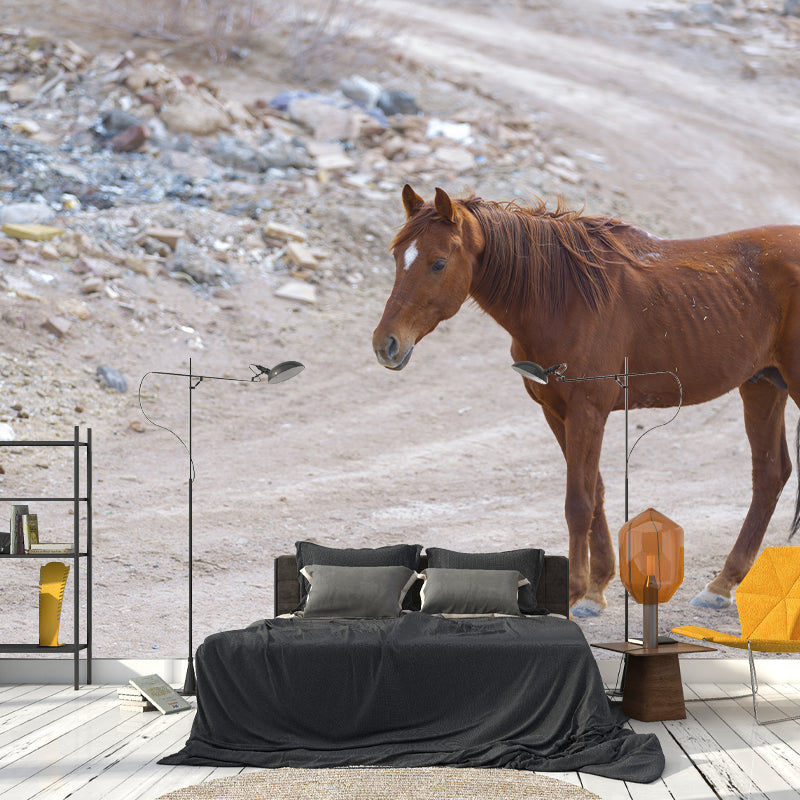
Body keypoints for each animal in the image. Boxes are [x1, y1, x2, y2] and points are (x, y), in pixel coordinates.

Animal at [372, 184, 800, 615]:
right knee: (770, 475)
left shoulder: (587, 412)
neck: (565, 298)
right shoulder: (557, 413)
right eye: (396, 257)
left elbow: (578, 501)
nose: (385, 344)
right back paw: (722, 584)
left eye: (438, 263)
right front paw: (598, 585)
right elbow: (596, 492)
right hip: (762, 385)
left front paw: (576, 590)